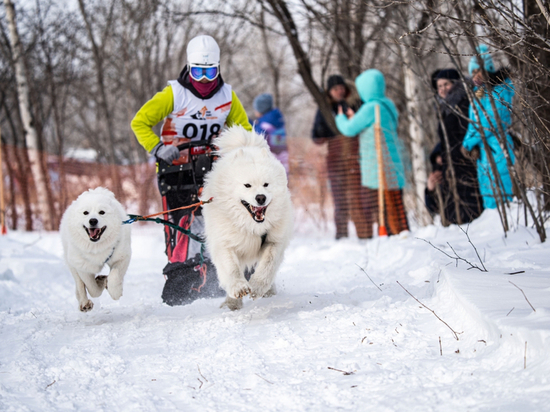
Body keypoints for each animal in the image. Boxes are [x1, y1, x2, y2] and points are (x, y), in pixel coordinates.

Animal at [202, 125, 296, 308]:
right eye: (247, 185)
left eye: (266, 184)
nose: (260, 198)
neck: (251, 226)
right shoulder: (225, 243)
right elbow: (231, 268)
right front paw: (239, 289)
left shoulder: (274, 240)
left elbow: (267, 265)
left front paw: (257, 287)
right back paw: (231, 304)